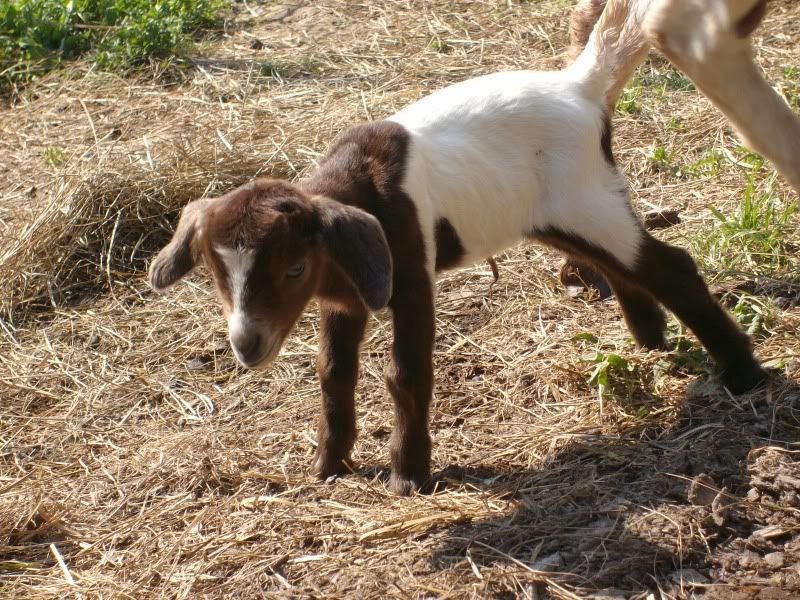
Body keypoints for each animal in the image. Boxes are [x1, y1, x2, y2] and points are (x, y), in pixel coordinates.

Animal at [149, 0, 766, 496]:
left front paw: (409, 477)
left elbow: (405, 372)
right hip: (560, 210)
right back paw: (651, 339)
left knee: (669, 266)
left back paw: (743, 374)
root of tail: (580, 85)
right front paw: (329, 465)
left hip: (582, 197)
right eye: (215, 276)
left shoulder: (407, 271)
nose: (247, 347)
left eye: (294, 267)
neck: (359, 185)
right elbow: (333, 372)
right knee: (615, 262)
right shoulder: (345, 294)